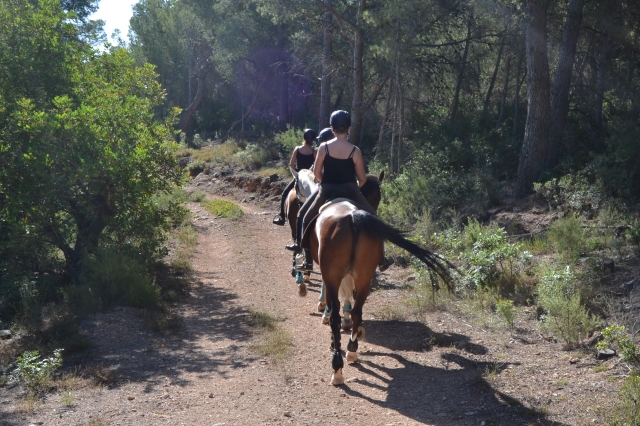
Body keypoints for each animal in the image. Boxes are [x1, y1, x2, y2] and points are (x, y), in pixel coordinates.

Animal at [305, 197, 454, 386]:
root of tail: (353, 217)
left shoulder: (330, 278)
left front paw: (333, 340)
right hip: (364, 278)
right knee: (357, 313)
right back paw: (352, 351)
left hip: (335, 275)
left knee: (336, 318)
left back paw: (337, 369)